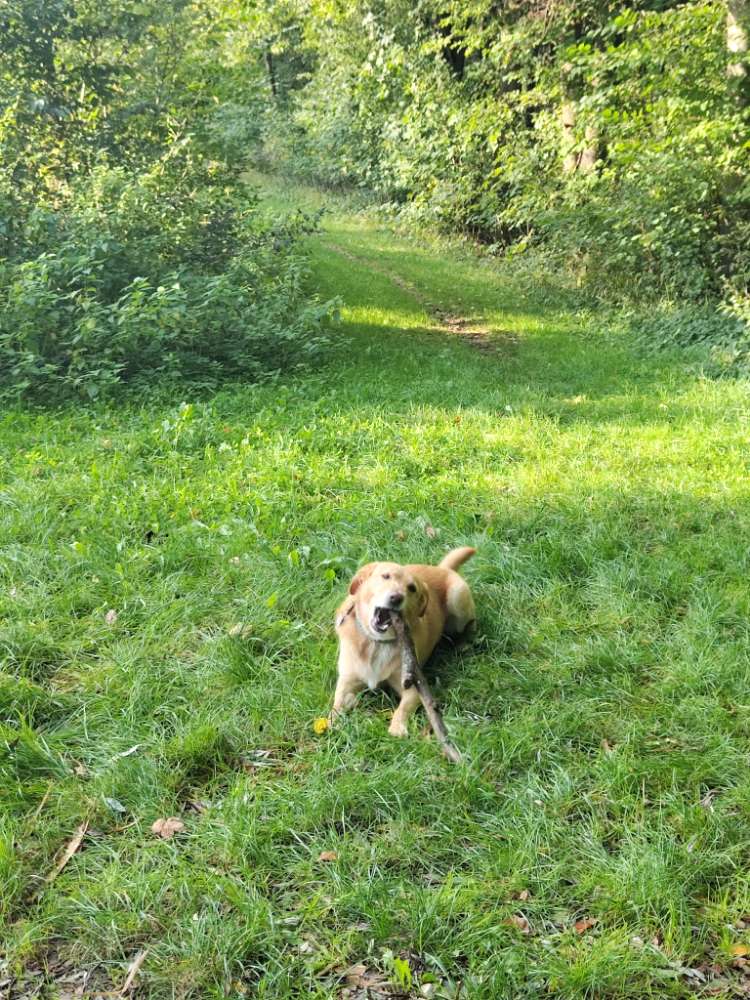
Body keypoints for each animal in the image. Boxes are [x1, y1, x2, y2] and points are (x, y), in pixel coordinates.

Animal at [334, 548, 478, 736]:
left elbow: (401, 710)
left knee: (469, 626)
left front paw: (397, 729)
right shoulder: (346, 682)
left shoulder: (412, 688)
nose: (396, 597)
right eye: (385, 576)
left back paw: (463, 644)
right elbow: (335, 707)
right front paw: (332, 724)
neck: (377, 643)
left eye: (412, 588)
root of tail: (442, 568)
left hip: (458, 598)